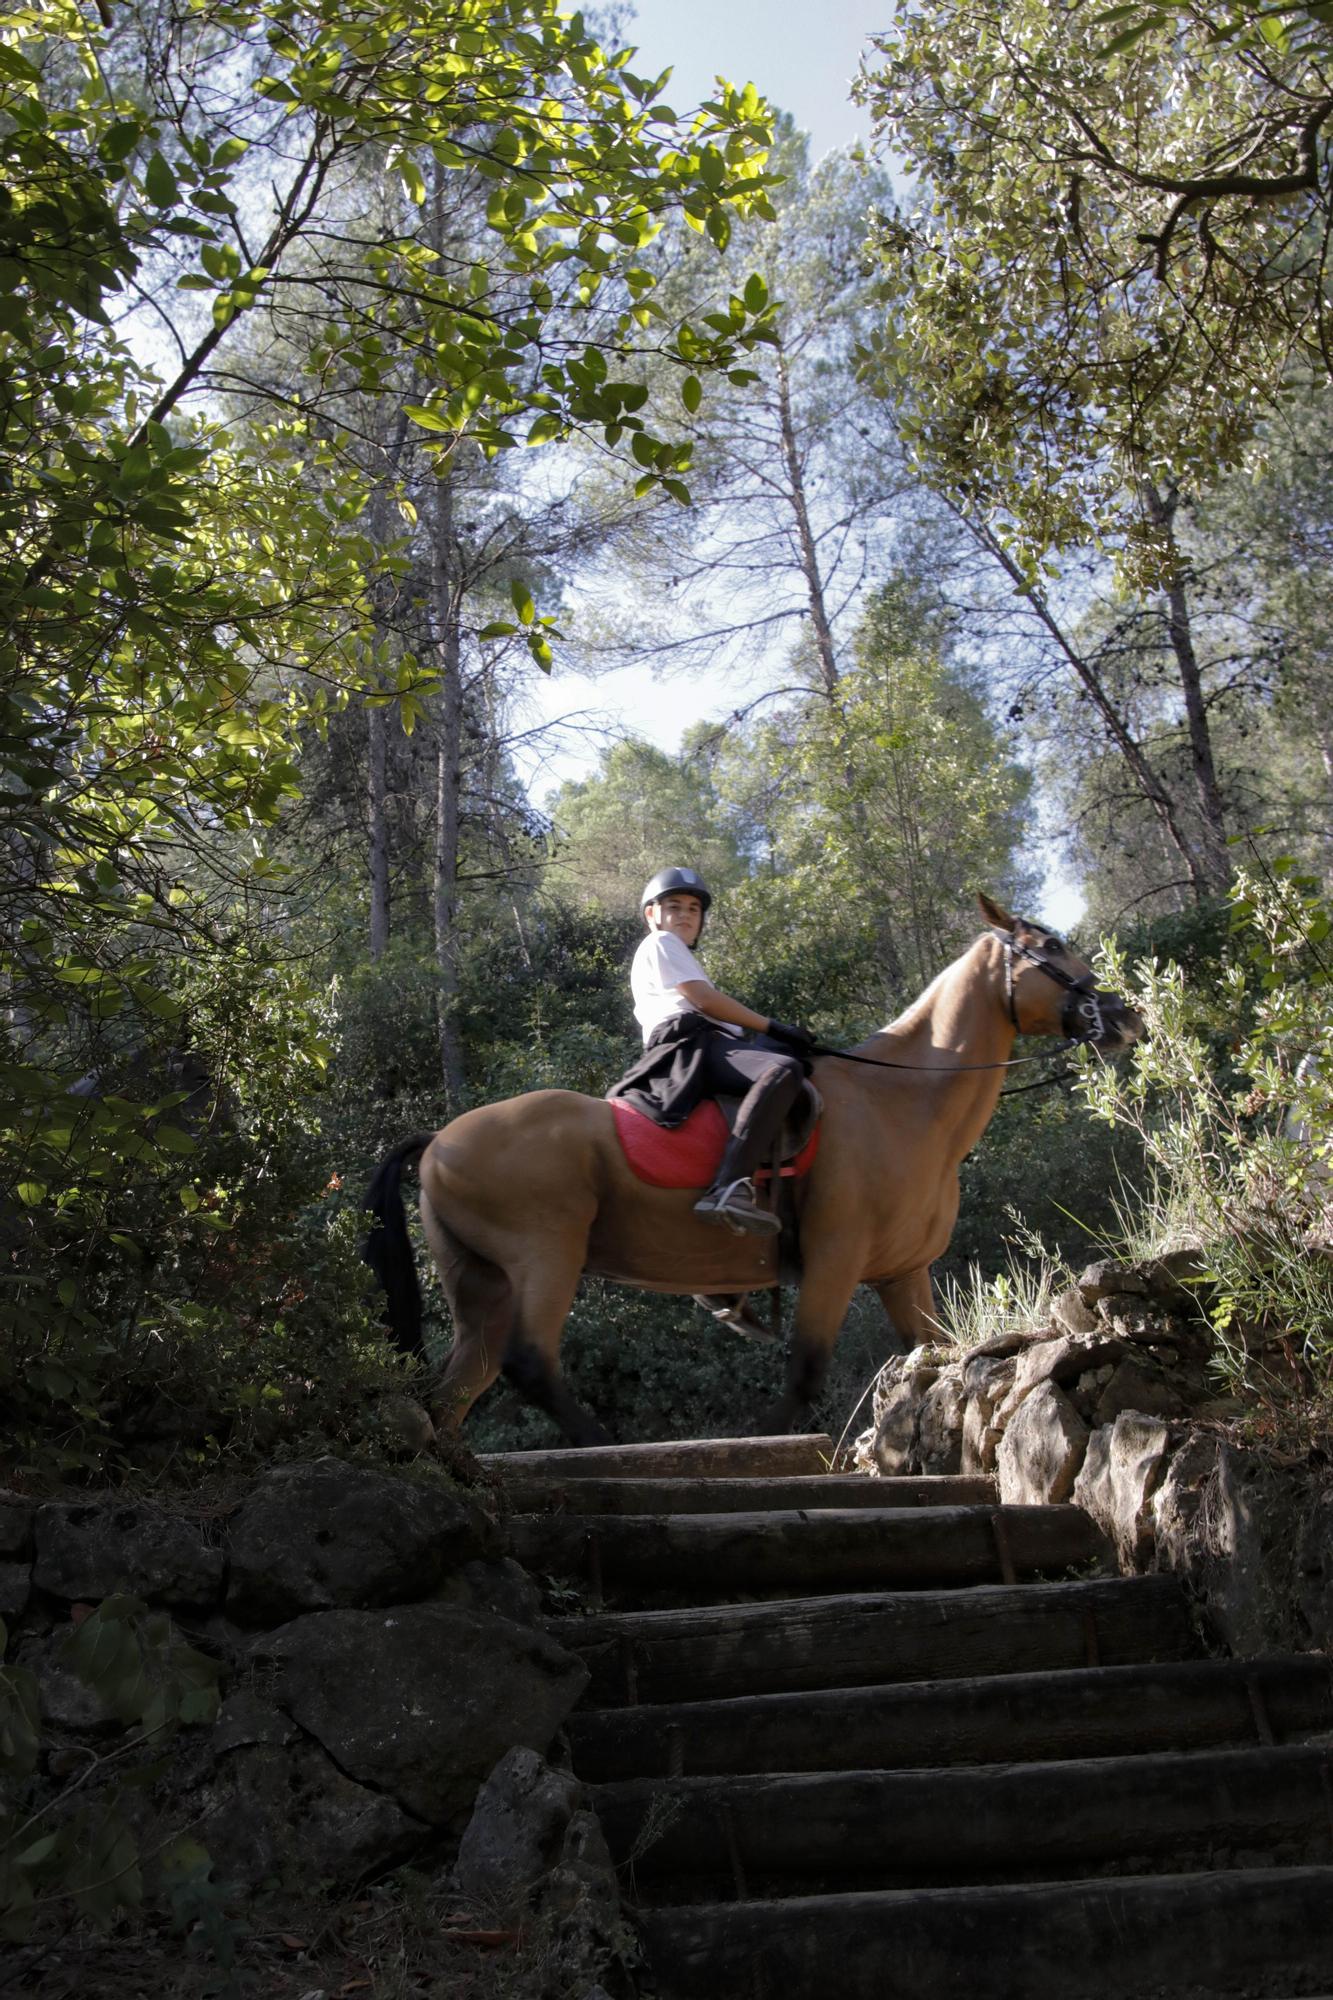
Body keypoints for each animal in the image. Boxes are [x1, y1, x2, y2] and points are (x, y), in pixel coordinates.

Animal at [364, 900, 1144, 1448]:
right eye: (1050, 948)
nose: (1123, 1014)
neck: (900, 1100)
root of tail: (439, 1140)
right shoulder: (834, 1261)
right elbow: (804, 1378)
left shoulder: (903, 1273)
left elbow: (936, 1356)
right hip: (544, 1254)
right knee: (527, 1363)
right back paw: (598, 1444)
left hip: (482, 1283)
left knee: (458, 1385)